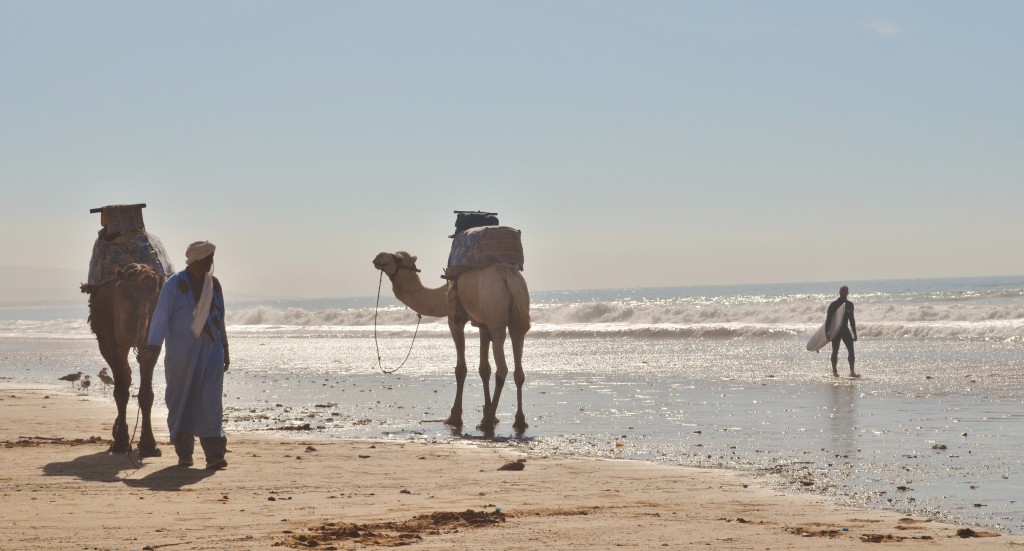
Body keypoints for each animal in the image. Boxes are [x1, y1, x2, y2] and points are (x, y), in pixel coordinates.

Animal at [80, 261, 162, 454]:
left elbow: (146, 394)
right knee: (125, 376)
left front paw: (149, 445)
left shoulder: (151, 345)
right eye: (130, 290)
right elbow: (121, 391)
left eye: (156, 292)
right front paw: (121, 442)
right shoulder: (111, 343)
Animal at [376, 250, 536, 430]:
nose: (379, 257)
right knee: (518, 367)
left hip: (495, 315)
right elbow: (484, 369)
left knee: (502, 369)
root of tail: (507, 276)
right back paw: (519, 420)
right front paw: (489, 414)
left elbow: (461, 369)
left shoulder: (454, 319)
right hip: (518, 315)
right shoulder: (482, 325)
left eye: (399, 258)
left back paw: (487, 423)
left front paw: (455, 416)